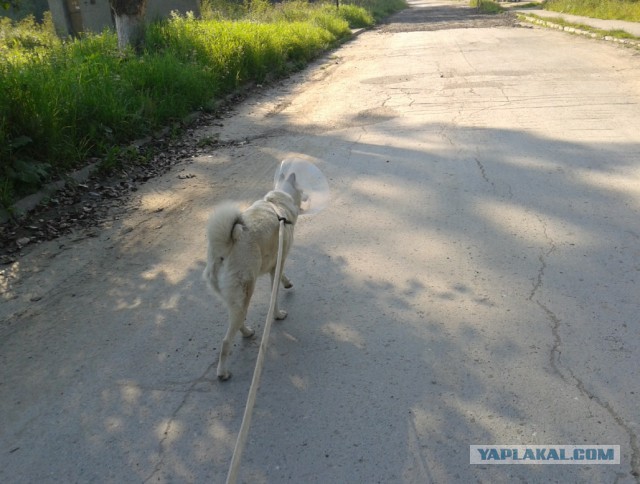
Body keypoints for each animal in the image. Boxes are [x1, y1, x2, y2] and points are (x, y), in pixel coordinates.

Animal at [205, 172, 304, 380]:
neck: (276, 202)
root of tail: (224, 248)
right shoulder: (279, 261)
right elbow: (275, 294)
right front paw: (278, 315)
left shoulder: (275, 262)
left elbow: (282, 277)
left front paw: (287, 283)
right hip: (246, 291)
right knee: (226, 341)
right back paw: (223, 372)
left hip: (235, 299)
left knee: (238, 320)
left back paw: (247, 332)